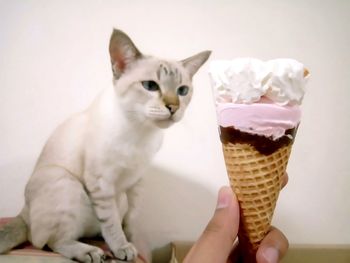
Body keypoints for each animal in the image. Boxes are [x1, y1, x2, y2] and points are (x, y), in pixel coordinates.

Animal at [0, 28, 211, 262]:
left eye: (182, 91)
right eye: (150, 86)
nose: (173, 107)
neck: (141, 132)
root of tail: (22, 212)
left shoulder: (135, 183)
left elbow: (129, 222)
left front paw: (135, 247)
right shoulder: (102, 183)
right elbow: (112, 224)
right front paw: (123, 248)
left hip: (116, 197)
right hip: (64, 181)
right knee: (49, 242)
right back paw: (91, 252)